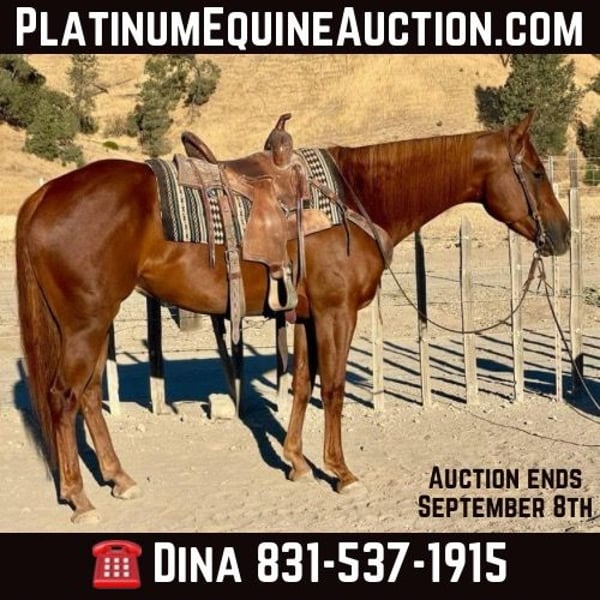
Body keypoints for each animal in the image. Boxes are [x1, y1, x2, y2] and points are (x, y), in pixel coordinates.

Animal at [15, 110, 570, 523]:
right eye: (536, 172)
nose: (562, 235)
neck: (356, 196)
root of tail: (44, 195)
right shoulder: (336, 314)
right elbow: (335, 388)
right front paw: (340, 472)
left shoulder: (304, 317)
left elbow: (303, 382)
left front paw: (297, 462)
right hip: (85, 324)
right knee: (63, 397)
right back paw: (79, 498)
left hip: (92, 322)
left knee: (88, 395)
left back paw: (119, 479)